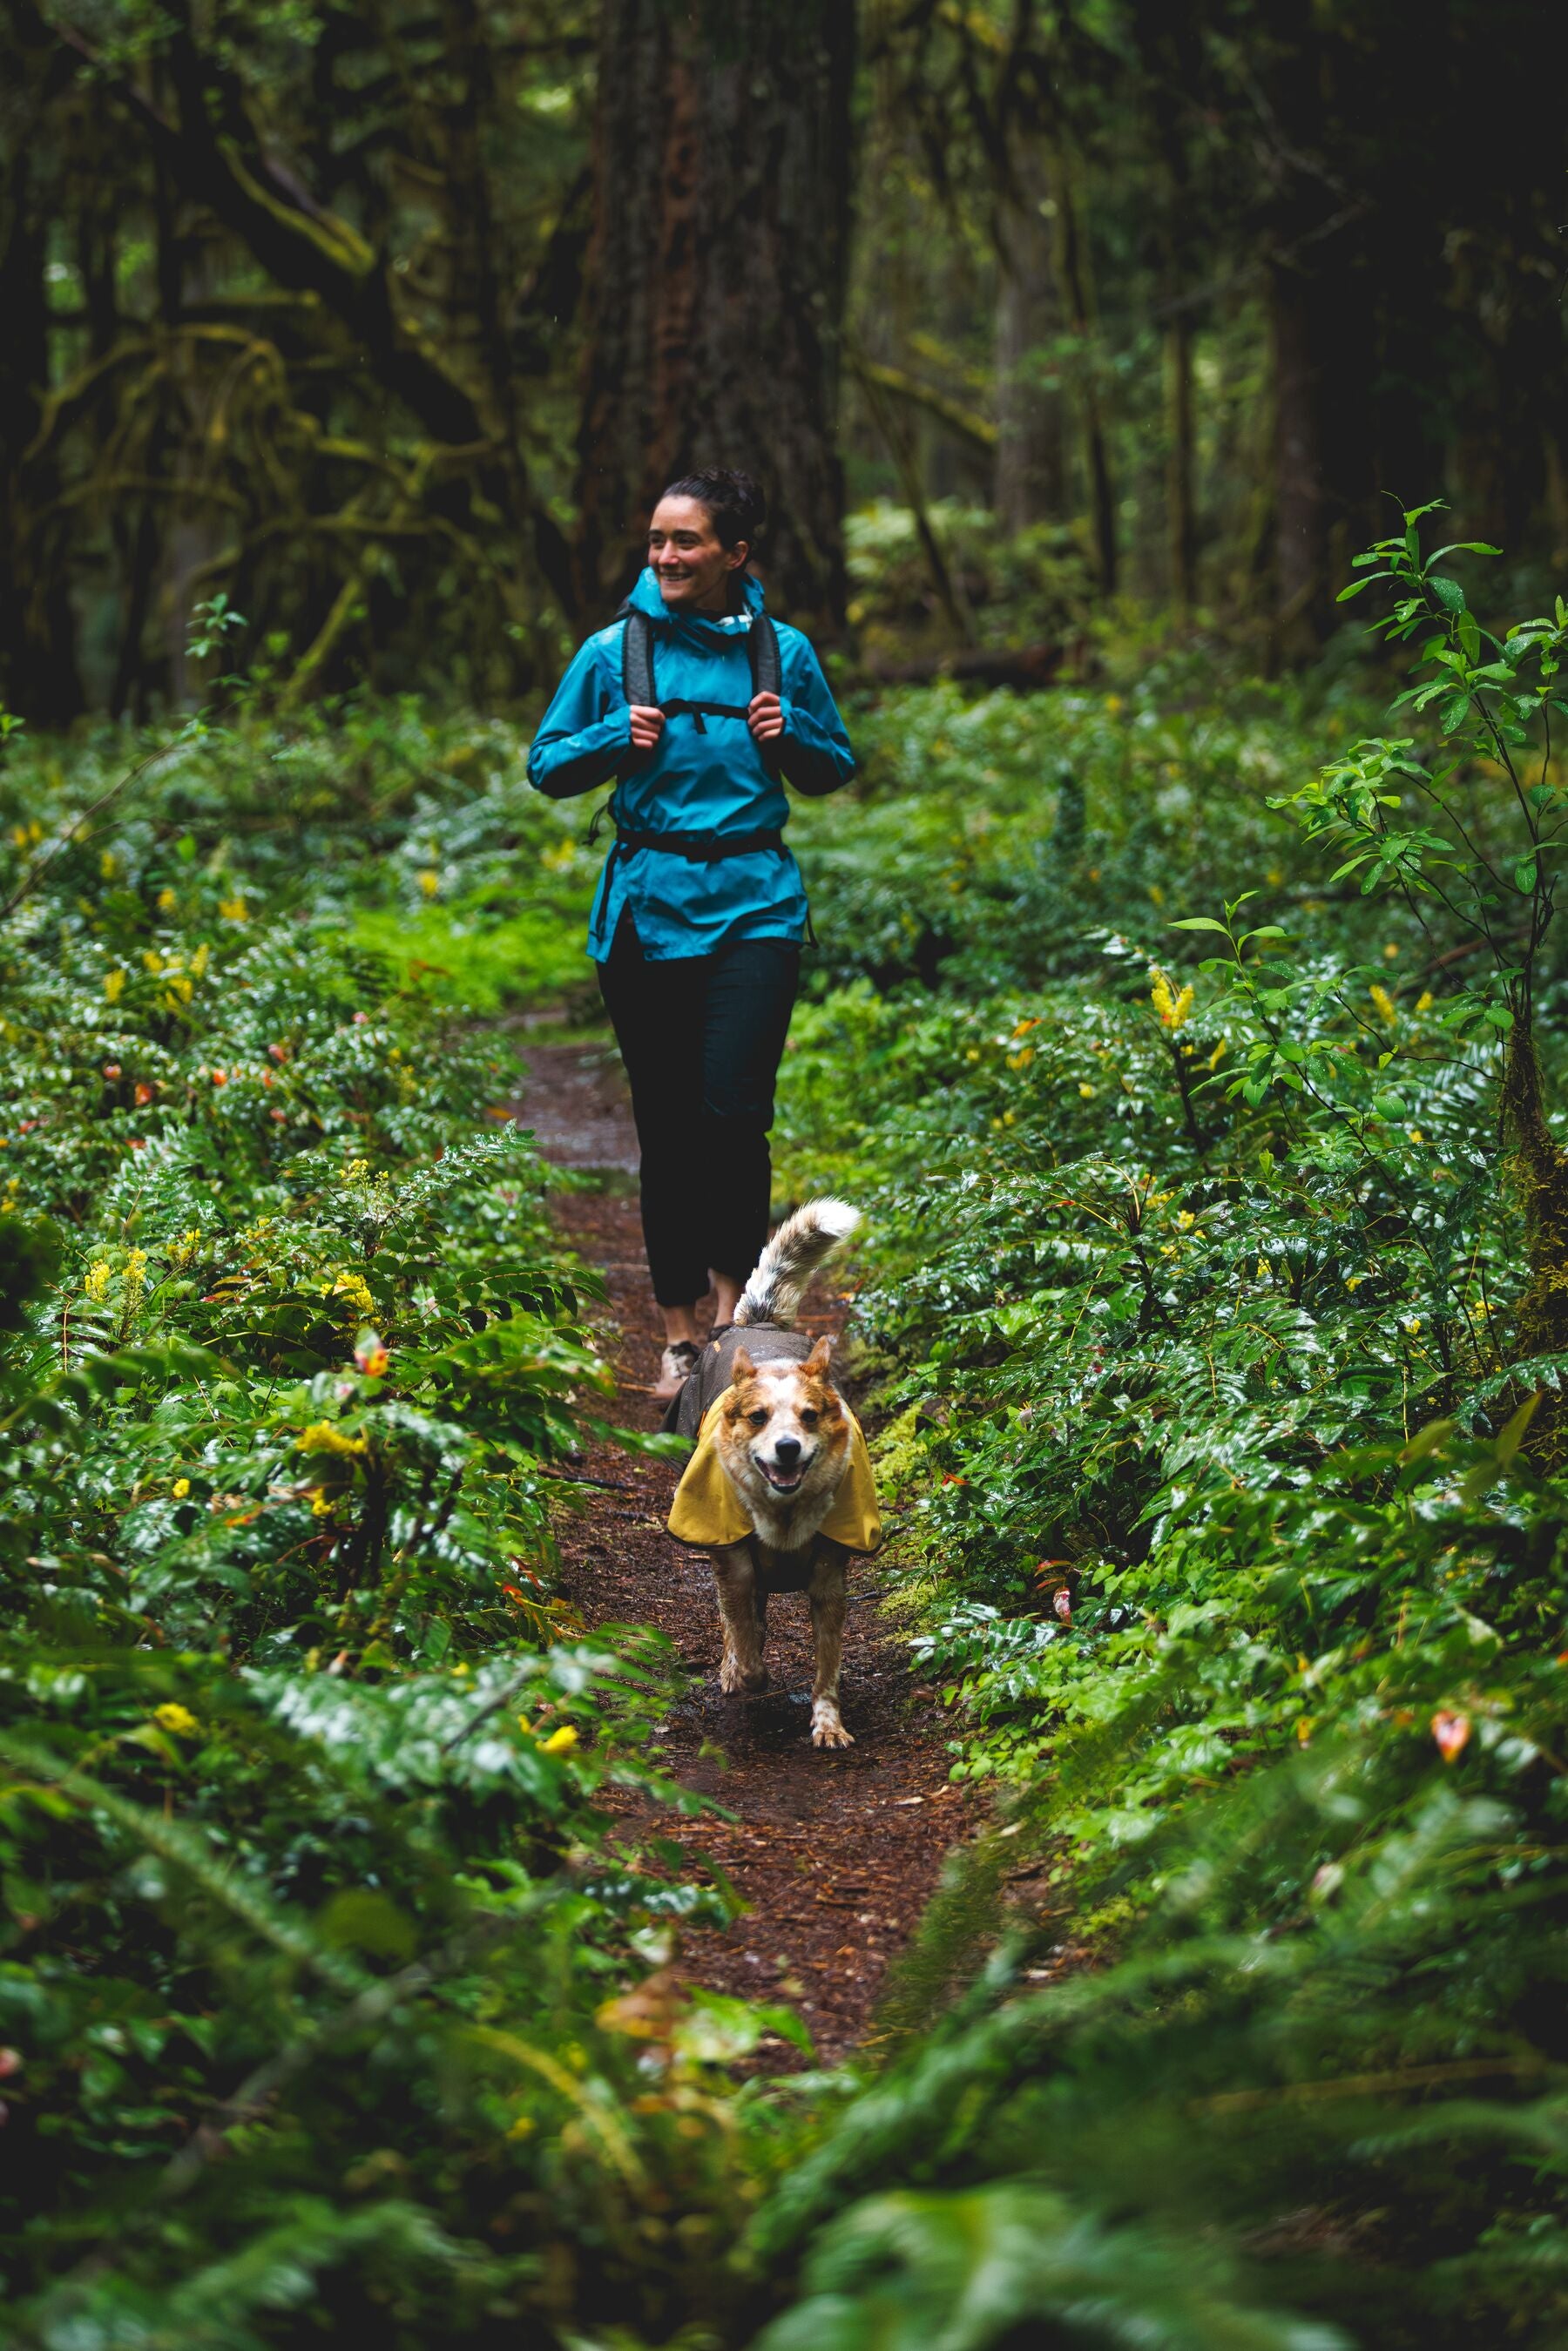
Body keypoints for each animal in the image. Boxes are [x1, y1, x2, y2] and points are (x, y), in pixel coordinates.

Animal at [667, 1213, 883, 1749]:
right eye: (758, 1417)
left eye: (810, 1416)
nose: (788, 1448)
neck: (784, 1517)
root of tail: (760, 1323)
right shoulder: (733, 1563)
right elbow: (743, 1641)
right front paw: (742, 1673)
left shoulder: (830, 1581)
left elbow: (827, 1669)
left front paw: (828, 1724)